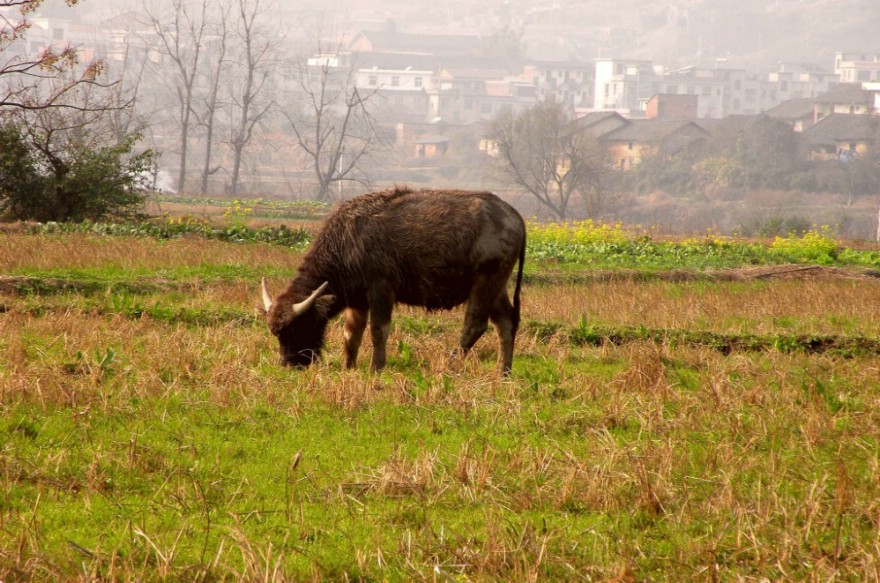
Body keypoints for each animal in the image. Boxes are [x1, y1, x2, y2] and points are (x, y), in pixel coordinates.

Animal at [258, 189, 524, 376]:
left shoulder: (381, 290)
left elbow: (378, 331)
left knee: (474, 325)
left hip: (485, 281)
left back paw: (450, 365)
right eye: (276, 333)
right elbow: (351, 334)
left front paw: (376, 367)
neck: (349, 242)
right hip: (497, 286)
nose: (289, 364)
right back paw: (504, 371)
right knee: (505, 322)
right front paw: (348, 366)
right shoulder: (357, 301)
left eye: (297, 327)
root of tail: (514, 215)